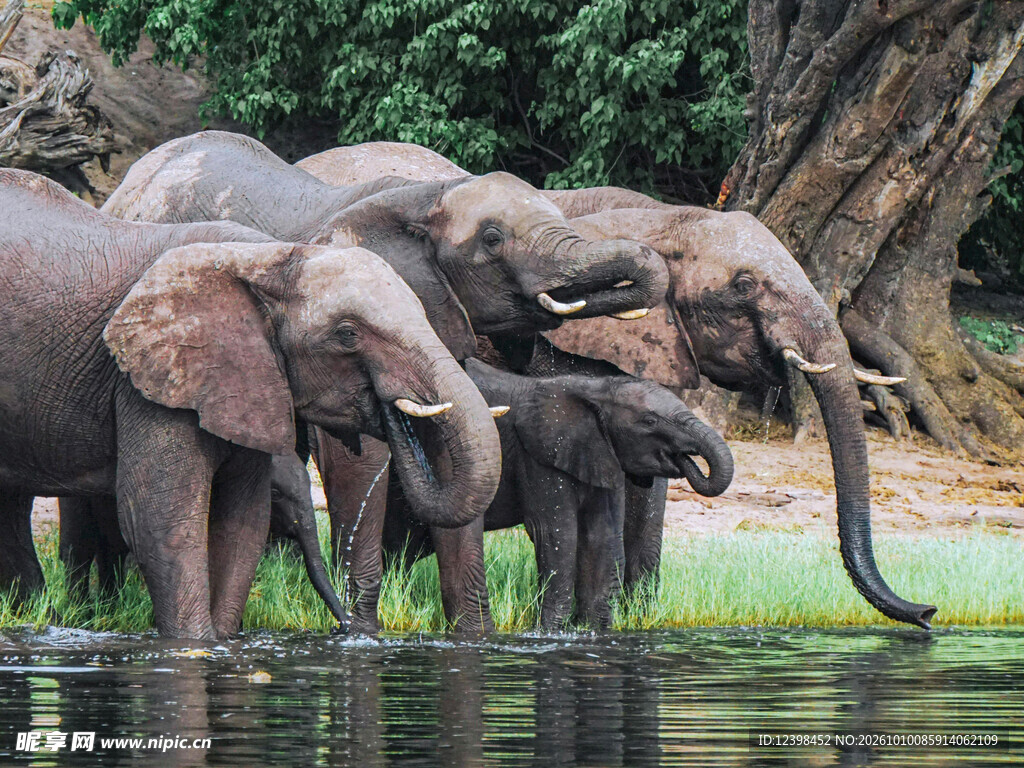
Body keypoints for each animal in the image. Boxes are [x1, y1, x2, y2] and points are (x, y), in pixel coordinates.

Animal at [0, 169, 500, 639]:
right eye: (347, 335)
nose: (392, 407)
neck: (270, 259)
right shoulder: (147, 383)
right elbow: (161, 524)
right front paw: (192, 647)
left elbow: (243, 525)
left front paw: (222, 643)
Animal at [380, 359, 734, 633]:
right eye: (649, 420)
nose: (689, 461)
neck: (595, 390)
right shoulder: (537, 455)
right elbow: (556, 533)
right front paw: (548, 633)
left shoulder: (598, 452)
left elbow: (601, 535)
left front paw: (592, 631)